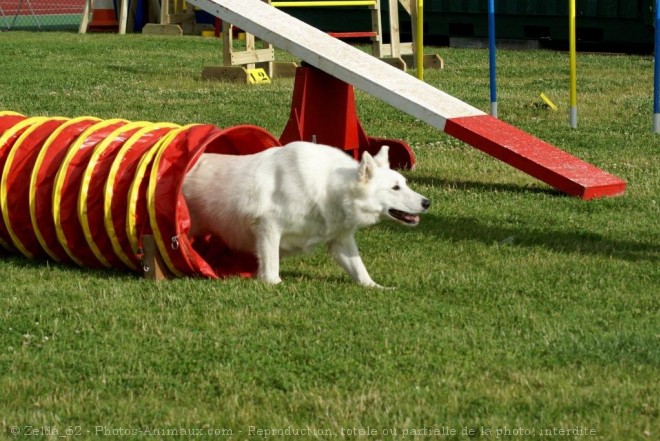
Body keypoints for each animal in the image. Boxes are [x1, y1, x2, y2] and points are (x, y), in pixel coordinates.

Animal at [182, 140, 428, 286]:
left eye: (405, 184)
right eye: (395, 188)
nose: (428, 202)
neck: (327, 188)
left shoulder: (340, 241)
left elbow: (359, 268)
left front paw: (375, 287)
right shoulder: (268, 227)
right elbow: (271, 266)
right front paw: (274, 284)